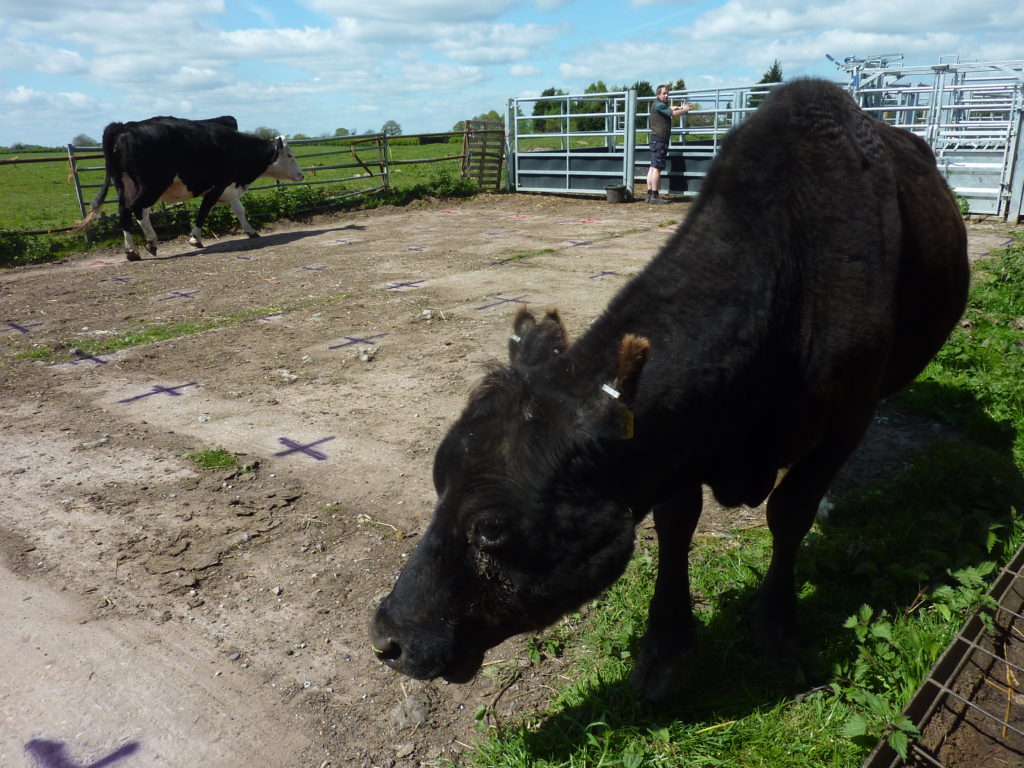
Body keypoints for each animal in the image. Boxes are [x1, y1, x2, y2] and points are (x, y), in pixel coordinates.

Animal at [80, 115, 303, 262]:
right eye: (290, 155)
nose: (301, 175)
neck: (235, 146)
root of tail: (123, 126)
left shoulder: (229, 188)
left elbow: (239, 210)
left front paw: (251, 231)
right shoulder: (219, 185)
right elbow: (204, 210)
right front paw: (195, 238)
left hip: (124, 185)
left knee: (124, 211)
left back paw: (132, 251)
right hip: (152, 185)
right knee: (138, 209)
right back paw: (152, 242)